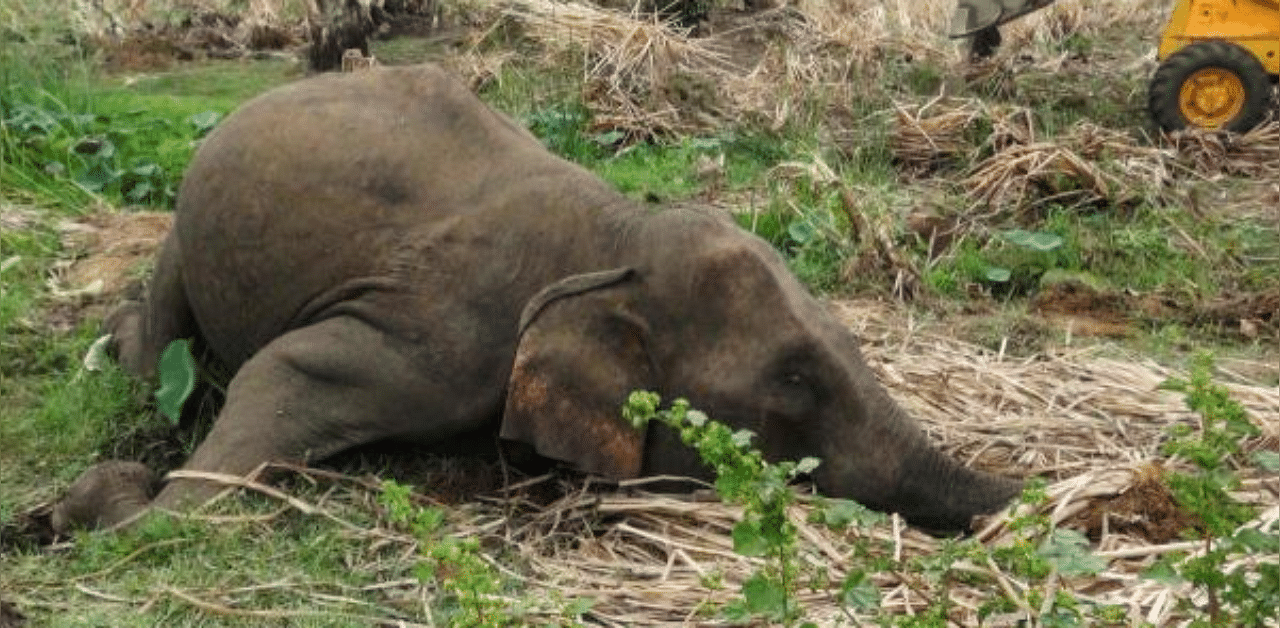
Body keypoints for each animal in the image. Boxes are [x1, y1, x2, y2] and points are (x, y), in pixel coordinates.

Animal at [55, 62, 1024, 534]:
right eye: (792, 389)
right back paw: (114, 346)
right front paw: (108, 511)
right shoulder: (446, 340)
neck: (617, 237)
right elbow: (285, 371)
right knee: (164, 340)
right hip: (186, 226)